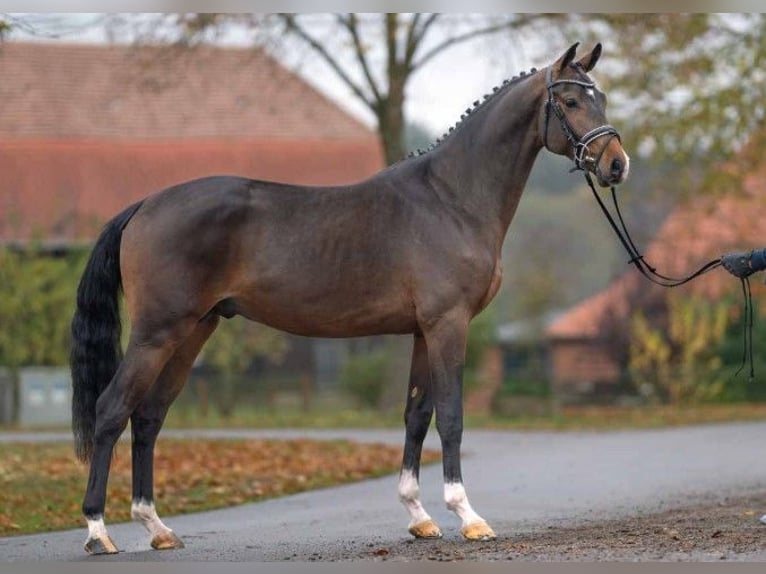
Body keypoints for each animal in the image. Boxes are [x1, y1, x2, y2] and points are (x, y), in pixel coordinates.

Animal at [70, 42, 632, 556]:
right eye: (572, 101)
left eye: (600, 97)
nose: (616, 165)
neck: (451, 198)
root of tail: (145, 204)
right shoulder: (448, 324)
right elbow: (450, 416)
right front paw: (468, 517)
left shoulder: (422, 331)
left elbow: (416, 415)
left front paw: (419, 516)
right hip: (157, 333)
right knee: (111, 410)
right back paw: (98, 532)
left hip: (194, 330)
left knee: (148, 416)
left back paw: (157, 527)